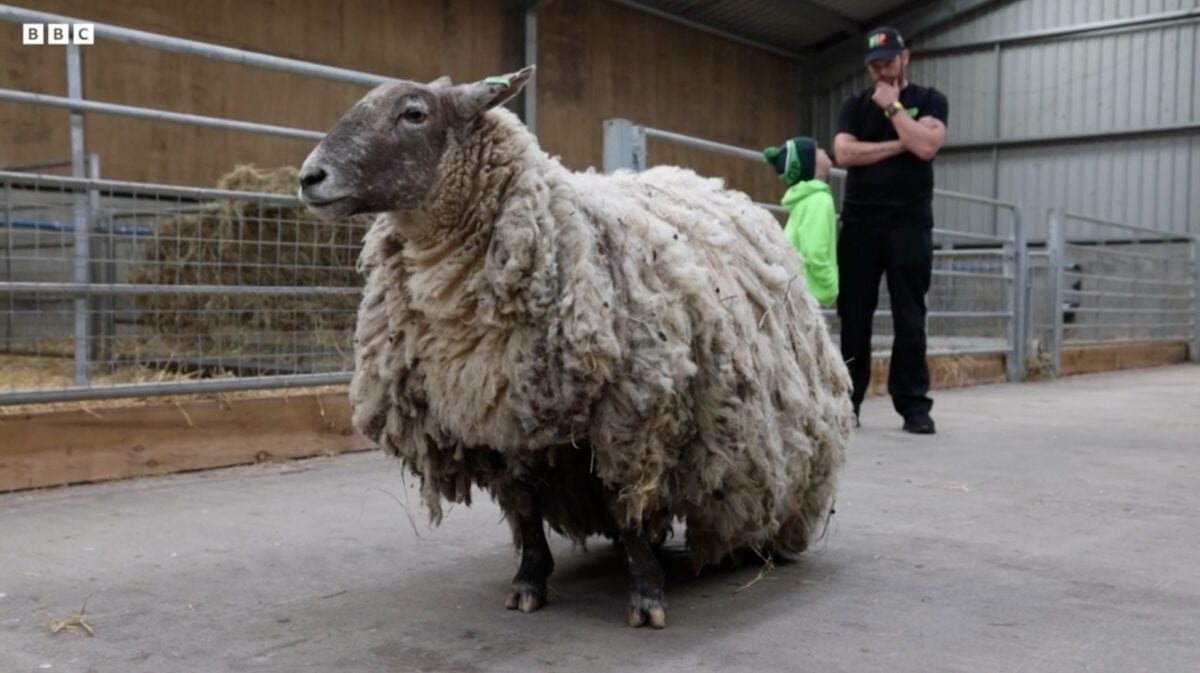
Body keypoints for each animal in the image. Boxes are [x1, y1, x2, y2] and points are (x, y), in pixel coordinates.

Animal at [300, 65, 859, 628]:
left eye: (414, 113)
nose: (310, 176)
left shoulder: (631, 412)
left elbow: (625, 500)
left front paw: (646, 594)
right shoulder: (501, 415)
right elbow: (525, 507)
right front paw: (529, 580)